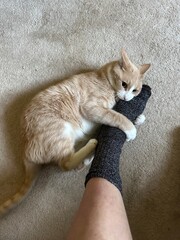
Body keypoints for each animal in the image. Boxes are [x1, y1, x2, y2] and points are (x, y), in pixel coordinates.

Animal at [0, 48, 150, 214]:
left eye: (135, 91)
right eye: (124, 84)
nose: (127, 98)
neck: (104, 80)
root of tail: (25, 151)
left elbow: (119, 115)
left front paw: (139, 118)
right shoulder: (92, 108)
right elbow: (117, 116)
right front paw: (131, 129)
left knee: (73, 164)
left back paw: (90, 155)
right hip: (61, 130)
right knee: (66, 164)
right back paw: (92, 145)